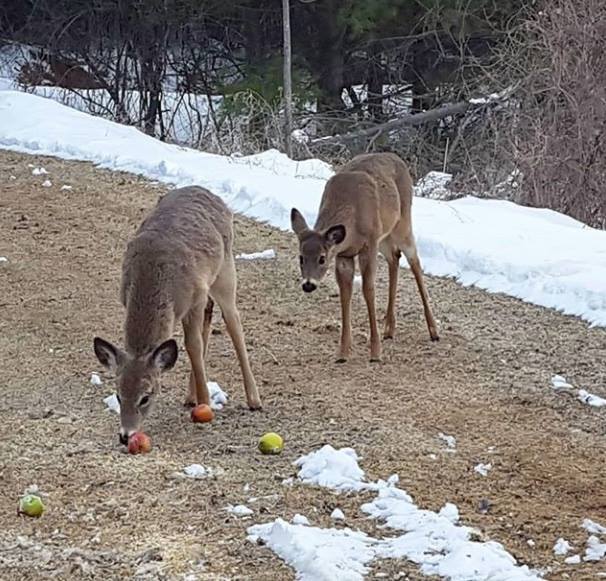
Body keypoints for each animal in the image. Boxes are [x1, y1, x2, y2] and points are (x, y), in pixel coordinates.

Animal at [93, 186, 262, 444]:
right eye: (119, 395)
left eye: (146, 396)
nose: (125, 435)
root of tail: (209, 193)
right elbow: (194, 345)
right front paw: (200, 399)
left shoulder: (195, 296)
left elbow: (193, 345)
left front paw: (206, 404)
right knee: (209, 319)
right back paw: (190, 397)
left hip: (225, 271)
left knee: (232, 321)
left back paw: (253, 399)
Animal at [292, 153, 440, 362]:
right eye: (301, 258)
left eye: (322, 258)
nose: (308, 285)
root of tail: (397, 158)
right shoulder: (343, 254)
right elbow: (345, 292)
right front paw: (343, 351)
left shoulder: (369, 244)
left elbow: (368, 290)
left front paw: (375, 352)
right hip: (385, 236)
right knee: (394, 257)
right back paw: (389, 328)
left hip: (402, 224)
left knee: (415, 262)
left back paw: (433, 330)